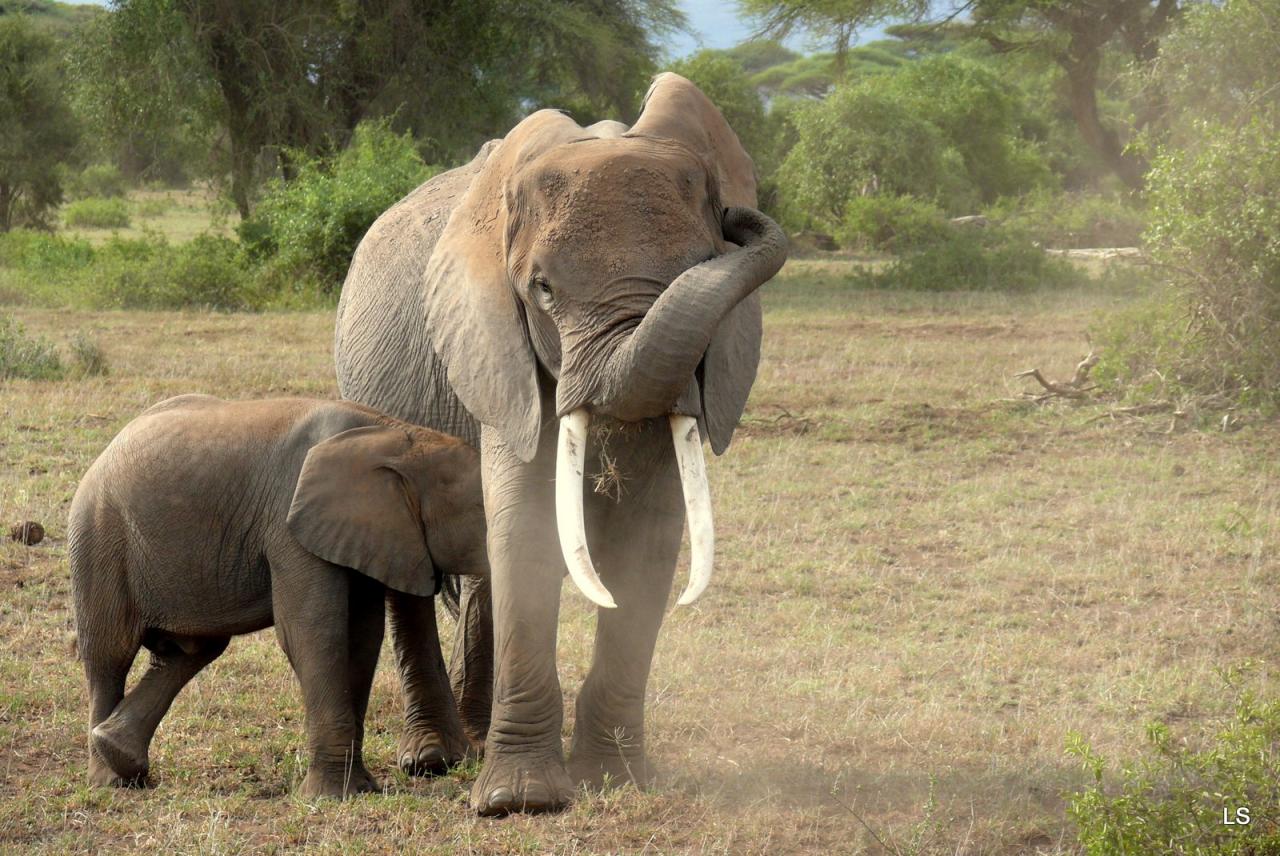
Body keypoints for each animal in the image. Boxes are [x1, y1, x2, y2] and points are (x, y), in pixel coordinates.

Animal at [71, 396, 488, 798]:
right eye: (484, 510)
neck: (399, 436)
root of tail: (109, 446)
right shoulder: (291, 529)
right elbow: (312, 632)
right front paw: (331, 796)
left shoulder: (372, 532)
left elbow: (362, 637)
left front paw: (360, 789)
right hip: (100, 538)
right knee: (110, 655)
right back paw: (109, 779)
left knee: (188, 651)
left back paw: (118, 753)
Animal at [335, 70, 783, 813]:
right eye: (541, 290)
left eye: (703, 264)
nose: (741, 221)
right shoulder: (498, 345)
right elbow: (526, 522)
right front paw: (518, 803)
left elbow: (651, 535)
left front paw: (614, 780)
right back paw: (435, 758)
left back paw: (477, 739)